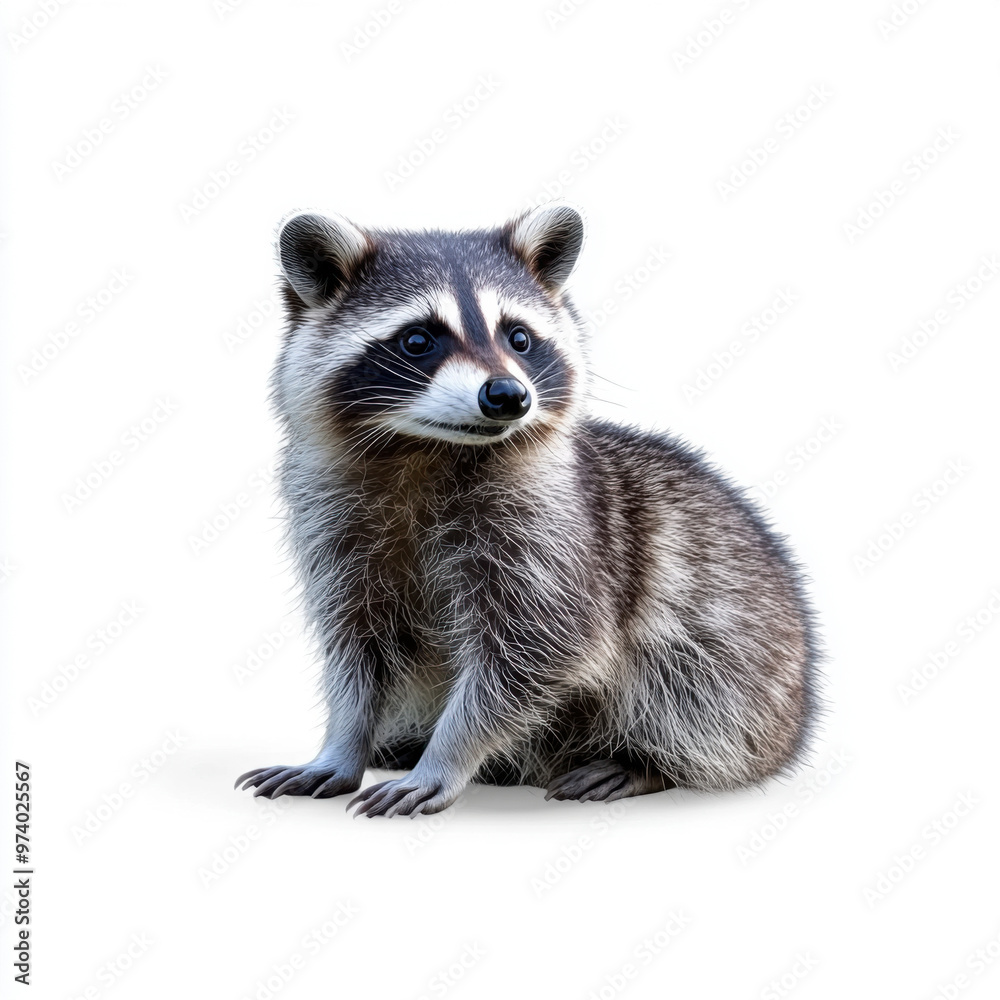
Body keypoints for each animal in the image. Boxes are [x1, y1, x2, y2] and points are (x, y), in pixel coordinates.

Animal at [234, 205, 820, 817]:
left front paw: (447, 755)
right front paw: (343, 744)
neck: (429, 450)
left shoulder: (553, 531)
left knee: (694, 682)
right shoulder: (334, 525)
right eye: (418, 339)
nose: (507, 396)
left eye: (518, 337)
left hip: (747, 650)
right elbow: (358, 647)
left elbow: (535, 650)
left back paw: (641, 761)